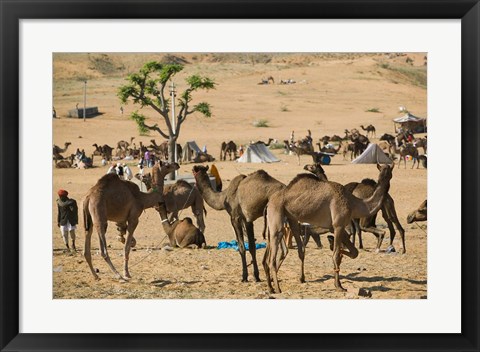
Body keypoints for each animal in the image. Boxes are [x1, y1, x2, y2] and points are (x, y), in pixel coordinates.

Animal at [262, 164, 394, 292]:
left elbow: (354, 252)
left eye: (388, 171)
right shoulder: (339, 225)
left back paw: (278, 284)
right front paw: (339, 286)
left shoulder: (335, 227)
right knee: (273, 253)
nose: (386, 176)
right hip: (276, 212)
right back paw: (277, 289)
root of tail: (269, 202)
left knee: (299, 249)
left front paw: (334, 247)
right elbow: (335, 255)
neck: (353, 203)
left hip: (291, 218)